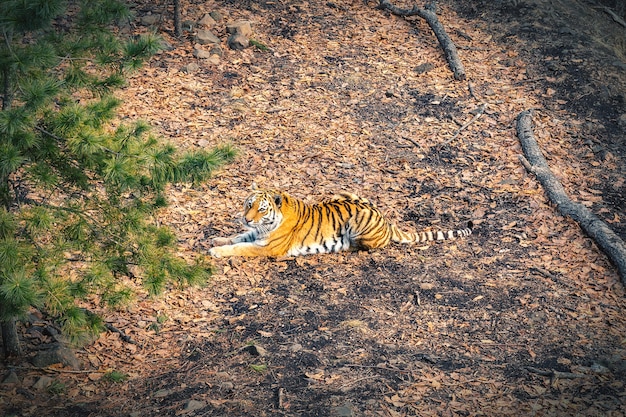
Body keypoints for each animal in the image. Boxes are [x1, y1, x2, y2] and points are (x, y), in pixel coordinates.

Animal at [207, 184, 470, 256]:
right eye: (248, 204)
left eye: (261, 209)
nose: (246, 218)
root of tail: (386, 220)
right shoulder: (257, 233)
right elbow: (237, 237)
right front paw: (217, 240)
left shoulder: (268, 247)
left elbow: (240, 248)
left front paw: (216, 252)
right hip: (345, 193)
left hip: (357, 222)